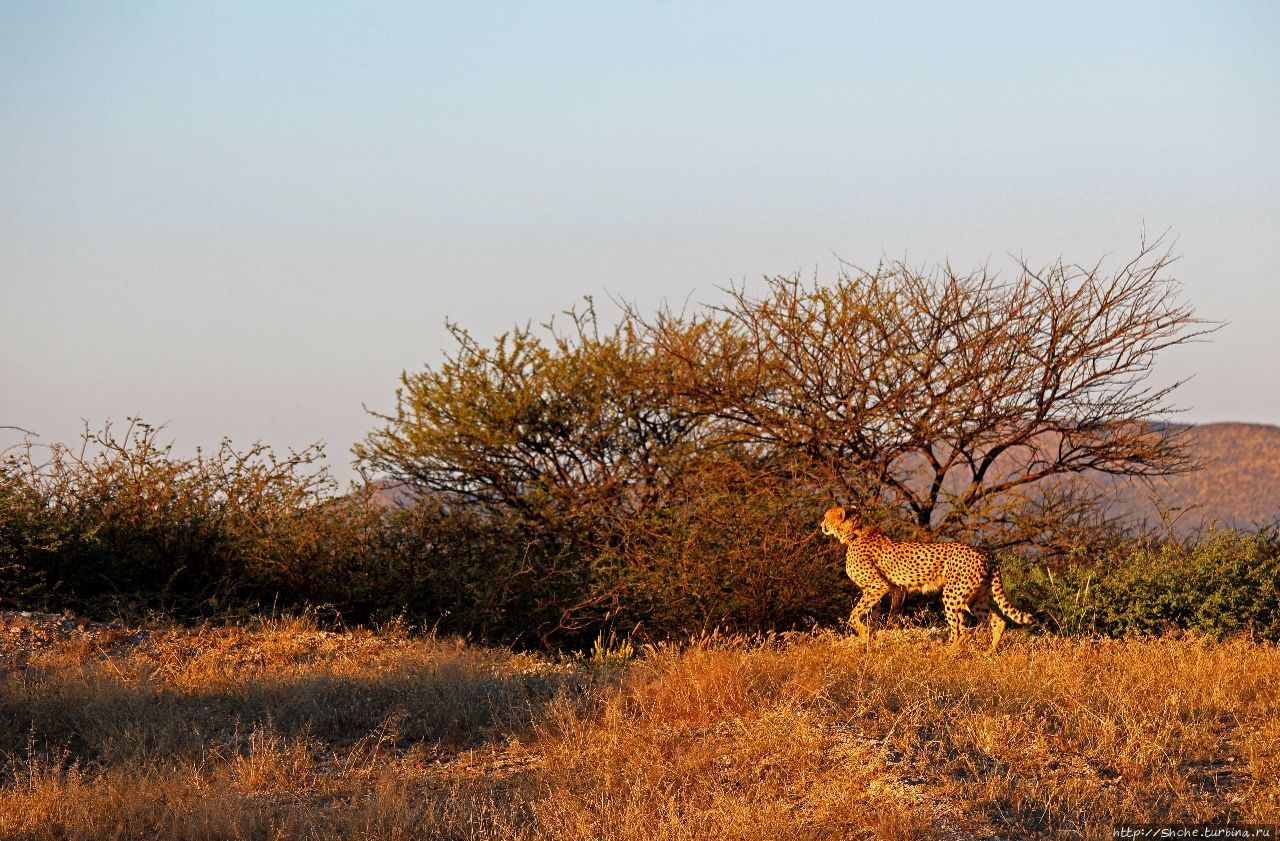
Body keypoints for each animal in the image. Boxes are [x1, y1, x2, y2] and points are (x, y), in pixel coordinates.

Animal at [819, 504, 1039, 650]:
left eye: (826, 517)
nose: (821, 525)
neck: (853, 534)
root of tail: (986, 552)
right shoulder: (877, 591)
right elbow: (870, 618)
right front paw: (869, 644)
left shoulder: (877, 586)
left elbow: (854, 615)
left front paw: (863, 635)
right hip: (975, 598)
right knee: (997, 621)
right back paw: (989, 653)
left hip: (953, 594)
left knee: (960, 630)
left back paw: (945, 655)